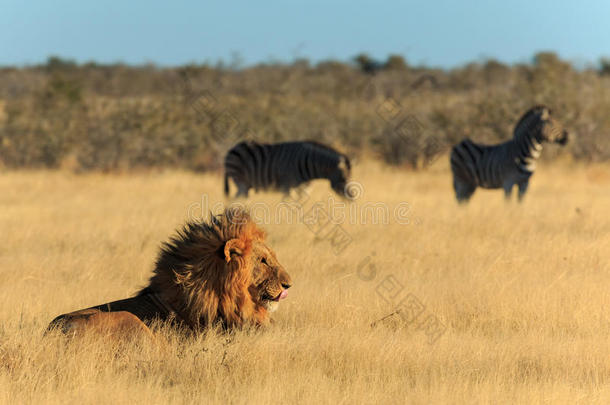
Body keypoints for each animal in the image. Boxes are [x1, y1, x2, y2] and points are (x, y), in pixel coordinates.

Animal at [222, 141, 352, 198]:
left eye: (350, 178)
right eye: (344, 178)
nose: (352, 197)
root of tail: (230, 149)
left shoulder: (304, 190)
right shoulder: (287, 187)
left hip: (246, 186)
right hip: (241, 181)